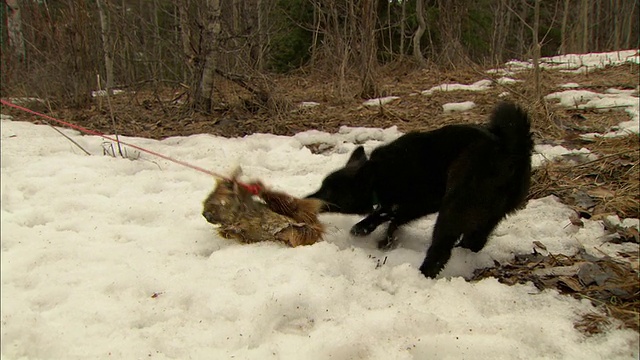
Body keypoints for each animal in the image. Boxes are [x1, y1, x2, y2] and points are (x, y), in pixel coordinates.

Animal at [308, 101, 532, 278]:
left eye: (330, 191)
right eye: (322, 185)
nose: (307, 198)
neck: (381, 175)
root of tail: (509, 151)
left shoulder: (420, 202)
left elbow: (390, 216)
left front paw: (371, 233)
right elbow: (389, 214)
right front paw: (372, 232)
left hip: (453, 208)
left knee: (440, 250)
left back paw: (422, 274)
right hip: (489, 217)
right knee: (475, 241)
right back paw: (464, 257)